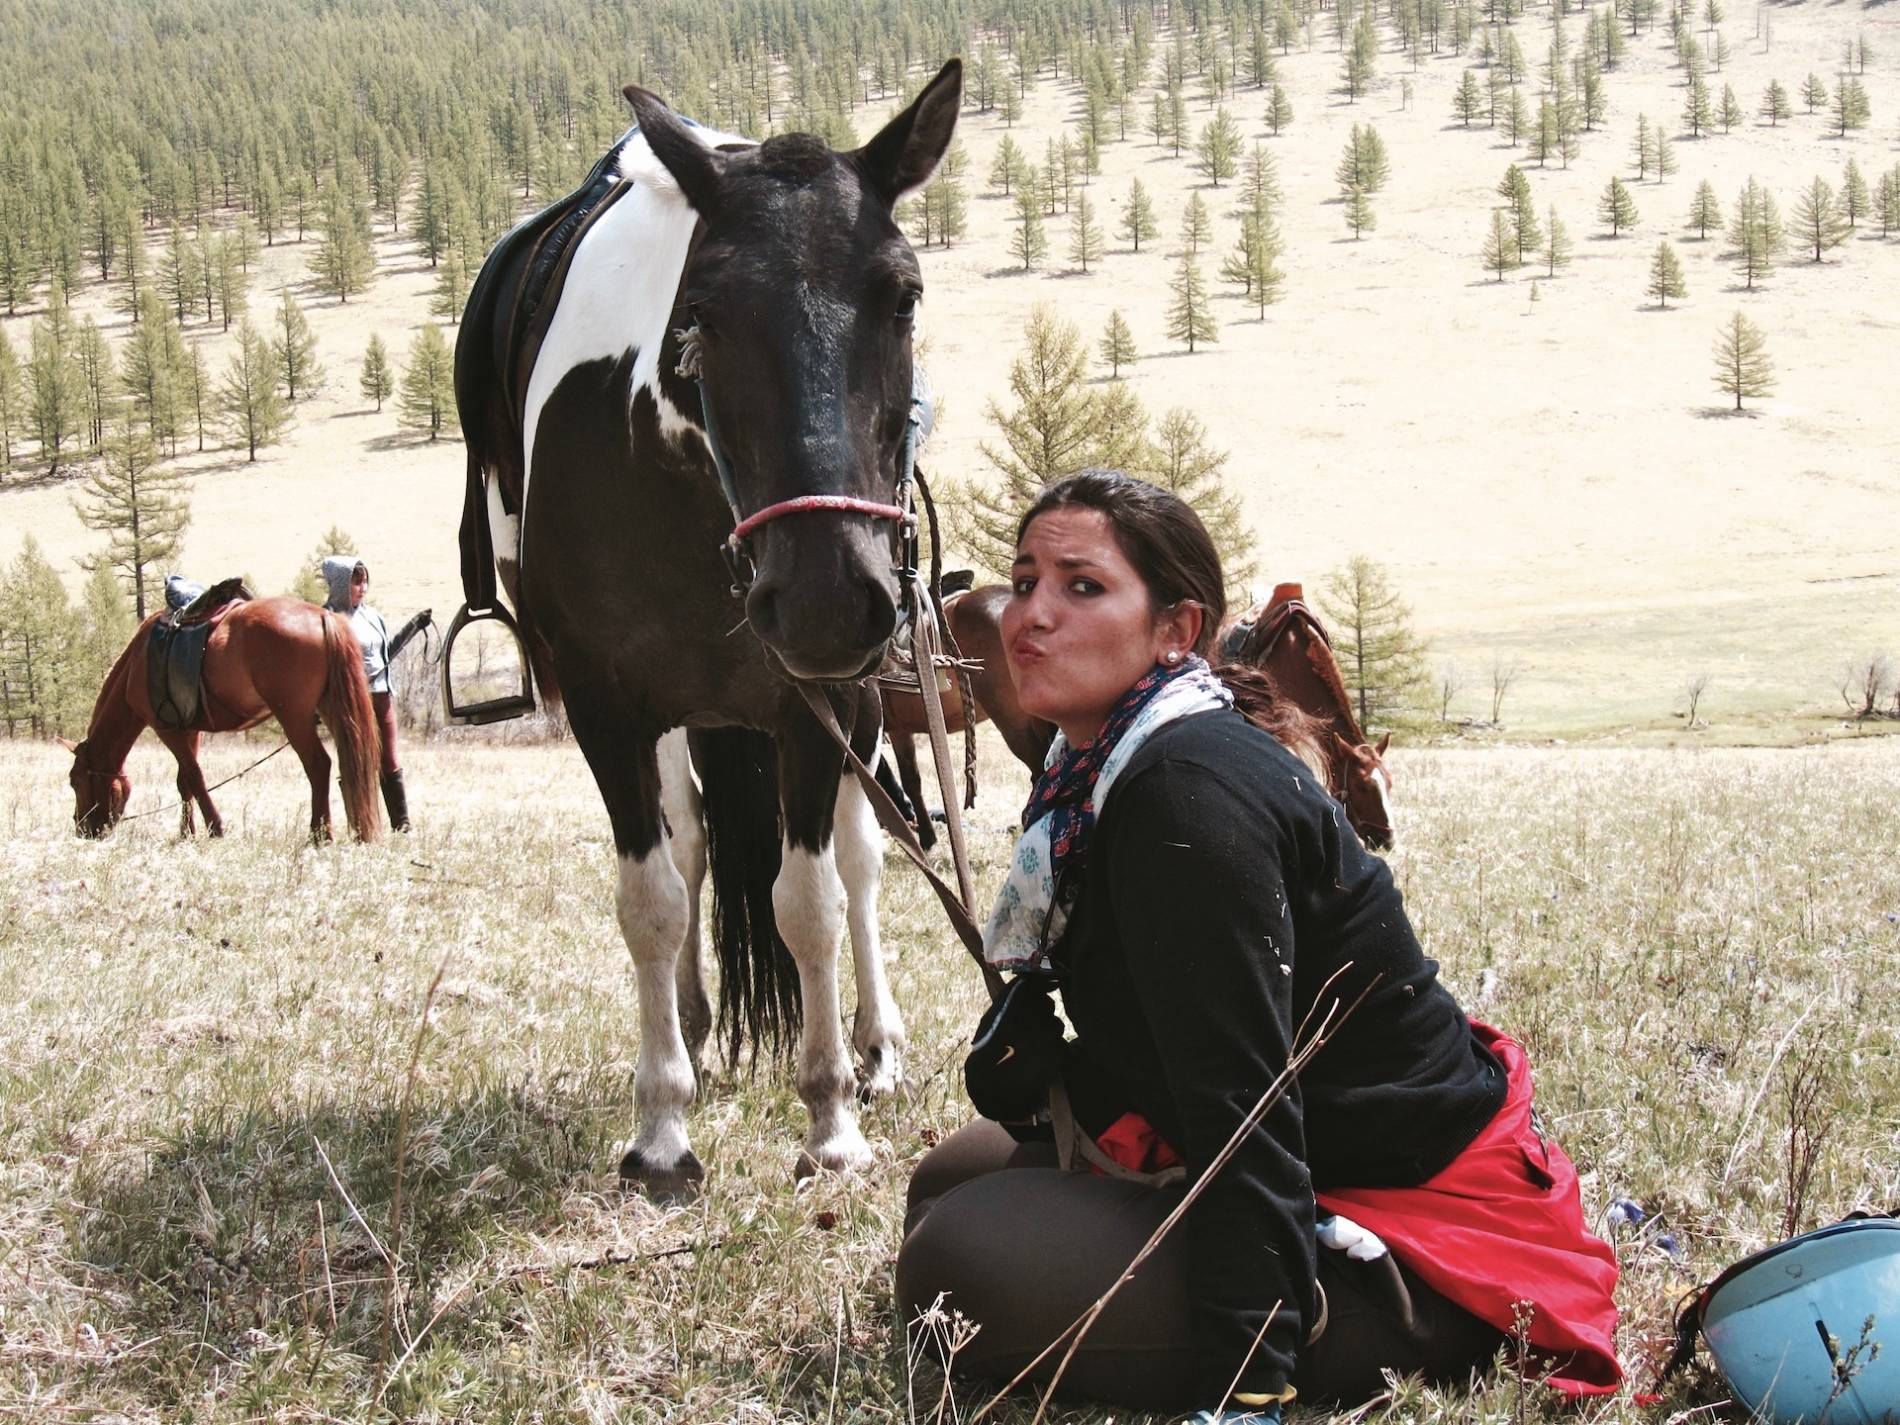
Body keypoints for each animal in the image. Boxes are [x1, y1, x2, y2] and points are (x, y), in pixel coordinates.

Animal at [456, 61, 965, 1193]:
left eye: (904, 296)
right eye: (703, 314)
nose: (825, 598)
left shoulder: (820, 701)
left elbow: (808, 899)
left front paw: (829, 1116)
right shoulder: (605, 708)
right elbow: (651, 898)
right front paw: (661, 1125)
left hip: (865, 702)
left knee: (864, 861)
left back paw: (875, 1047)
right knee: (688, 853)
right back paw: (688, 1024)